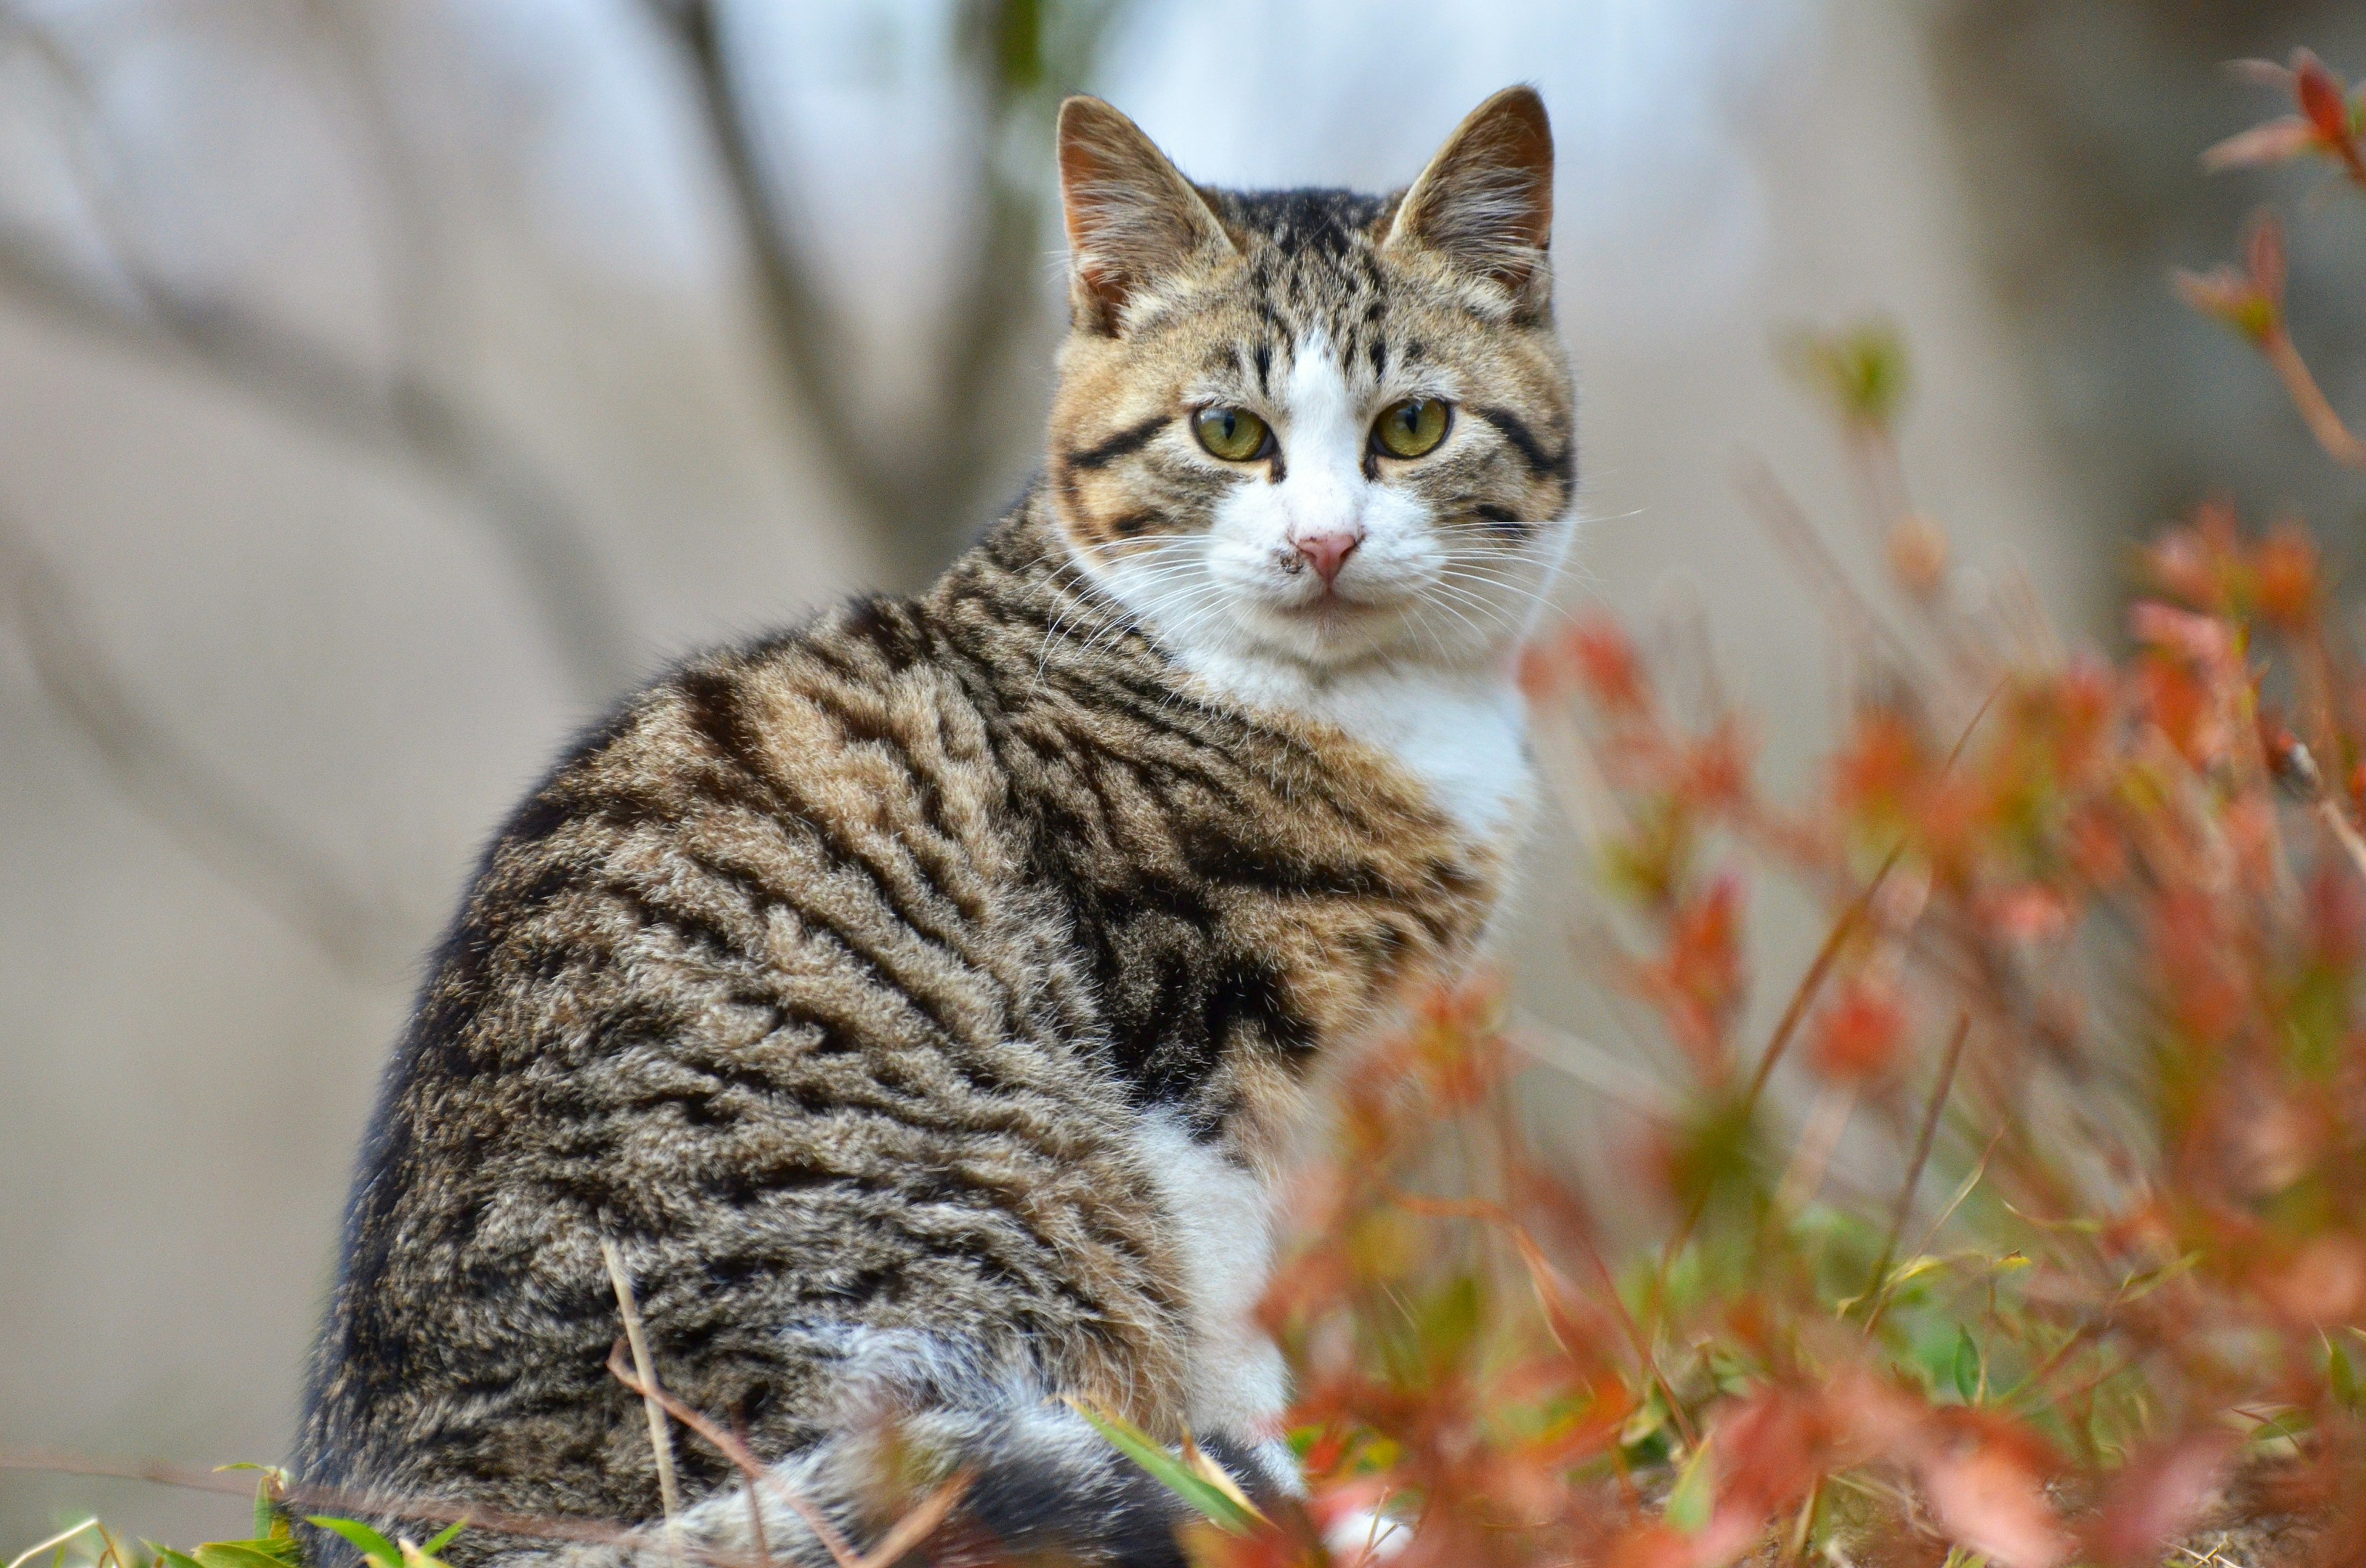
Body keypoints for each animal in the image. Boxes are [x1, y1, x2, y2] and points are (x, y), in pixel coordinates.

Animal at [300, 86, 1571, 1568]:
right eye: (1230, 433)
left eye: (1413, 428)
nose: (1323, 544)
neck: (1368, 701)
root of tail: (415, 1515)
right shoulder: (1180, 1042)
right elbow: (1225, 1318)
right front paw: (1284, 1495)